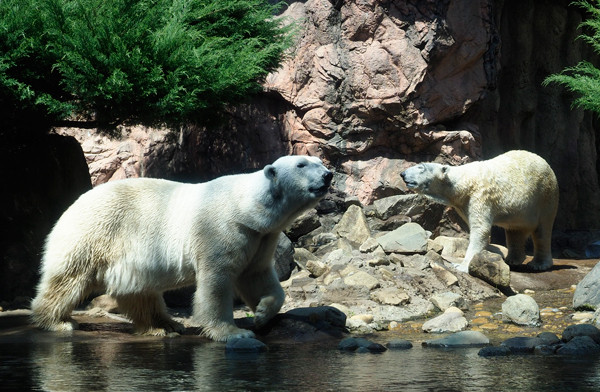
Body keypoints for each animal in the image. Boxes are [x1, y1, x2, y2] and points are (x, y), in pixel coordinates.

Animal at [31, 155, 332, 342]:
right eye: (302, 164)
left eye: (319, 161)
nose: (329, 175)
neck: (248, 206)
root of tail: (73, 204)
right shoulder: (221, 228)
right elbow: (216, 282)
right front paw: (233, 332)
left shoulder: (261, 235)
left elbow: (257, 275)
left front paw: (261, 314)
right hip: (94, 232)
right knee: (69, 278)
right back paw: (56, 321)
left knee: (139, 290)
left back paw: (164, 325)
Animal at [400, 150, 560, 272]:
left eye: (421, 167)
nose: (402, 174)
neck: (464, 182)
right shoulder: (463, 203)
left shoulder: (480, 196)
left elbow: (480, 230)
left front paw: (461, 266)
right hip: (522, 211)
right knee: (515, 231)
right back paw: (513, 259)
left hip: (544, 195)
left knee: (542, 231)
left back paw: (539, 264)